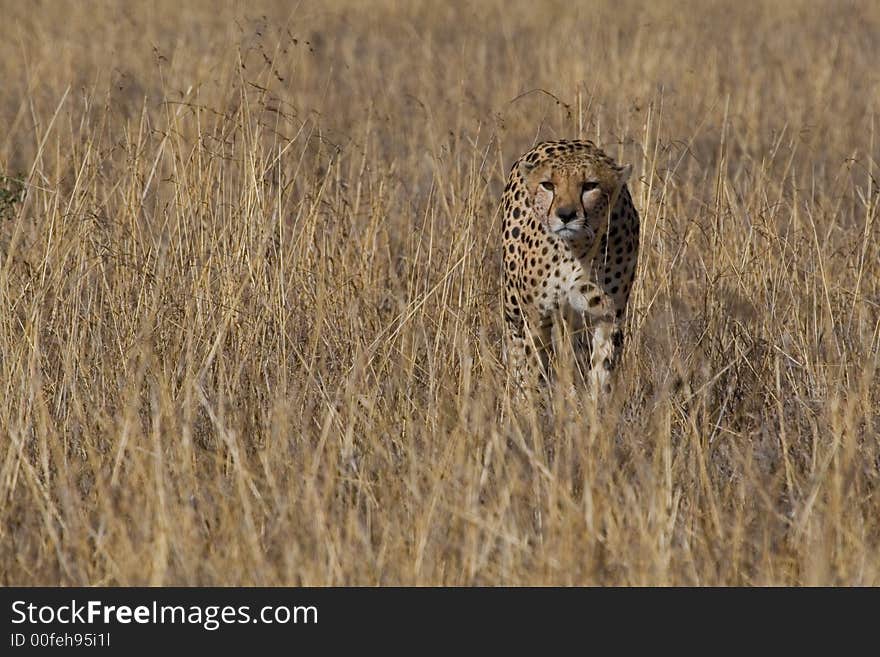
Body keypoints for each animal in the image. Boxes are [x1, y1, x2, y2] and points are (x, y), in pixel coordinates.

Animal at [502, 138, 640, 398]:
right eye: (548, 185)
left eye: (590, 186)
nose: (566, 215)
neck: (576, 249)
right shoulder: (536, 316)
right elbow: (533, 367)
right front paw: (531, 405)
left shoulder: (608, 314)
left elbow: (602, 371)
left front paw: (596, 405)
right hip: (514, 307)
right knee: (516, 350)